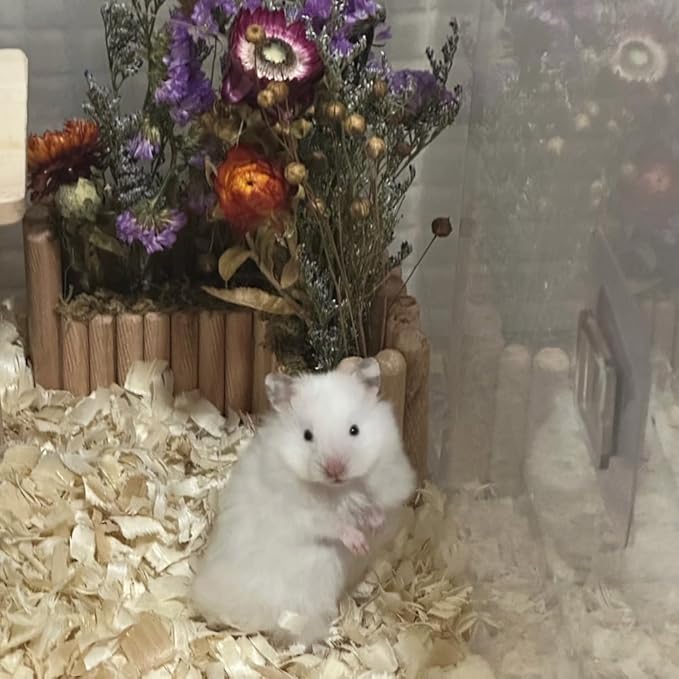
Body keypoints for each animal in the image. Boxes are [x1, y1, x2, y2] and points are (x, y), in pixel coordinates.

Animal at [190, 357, 416, 646]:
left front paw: (375, 525)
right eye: (307, 435)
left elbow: (370, 506)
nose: (335, 469)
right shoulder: (302, 514)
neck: (337, 489)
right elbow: (333, 524)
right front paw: (359, 544)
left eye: (354, 430)